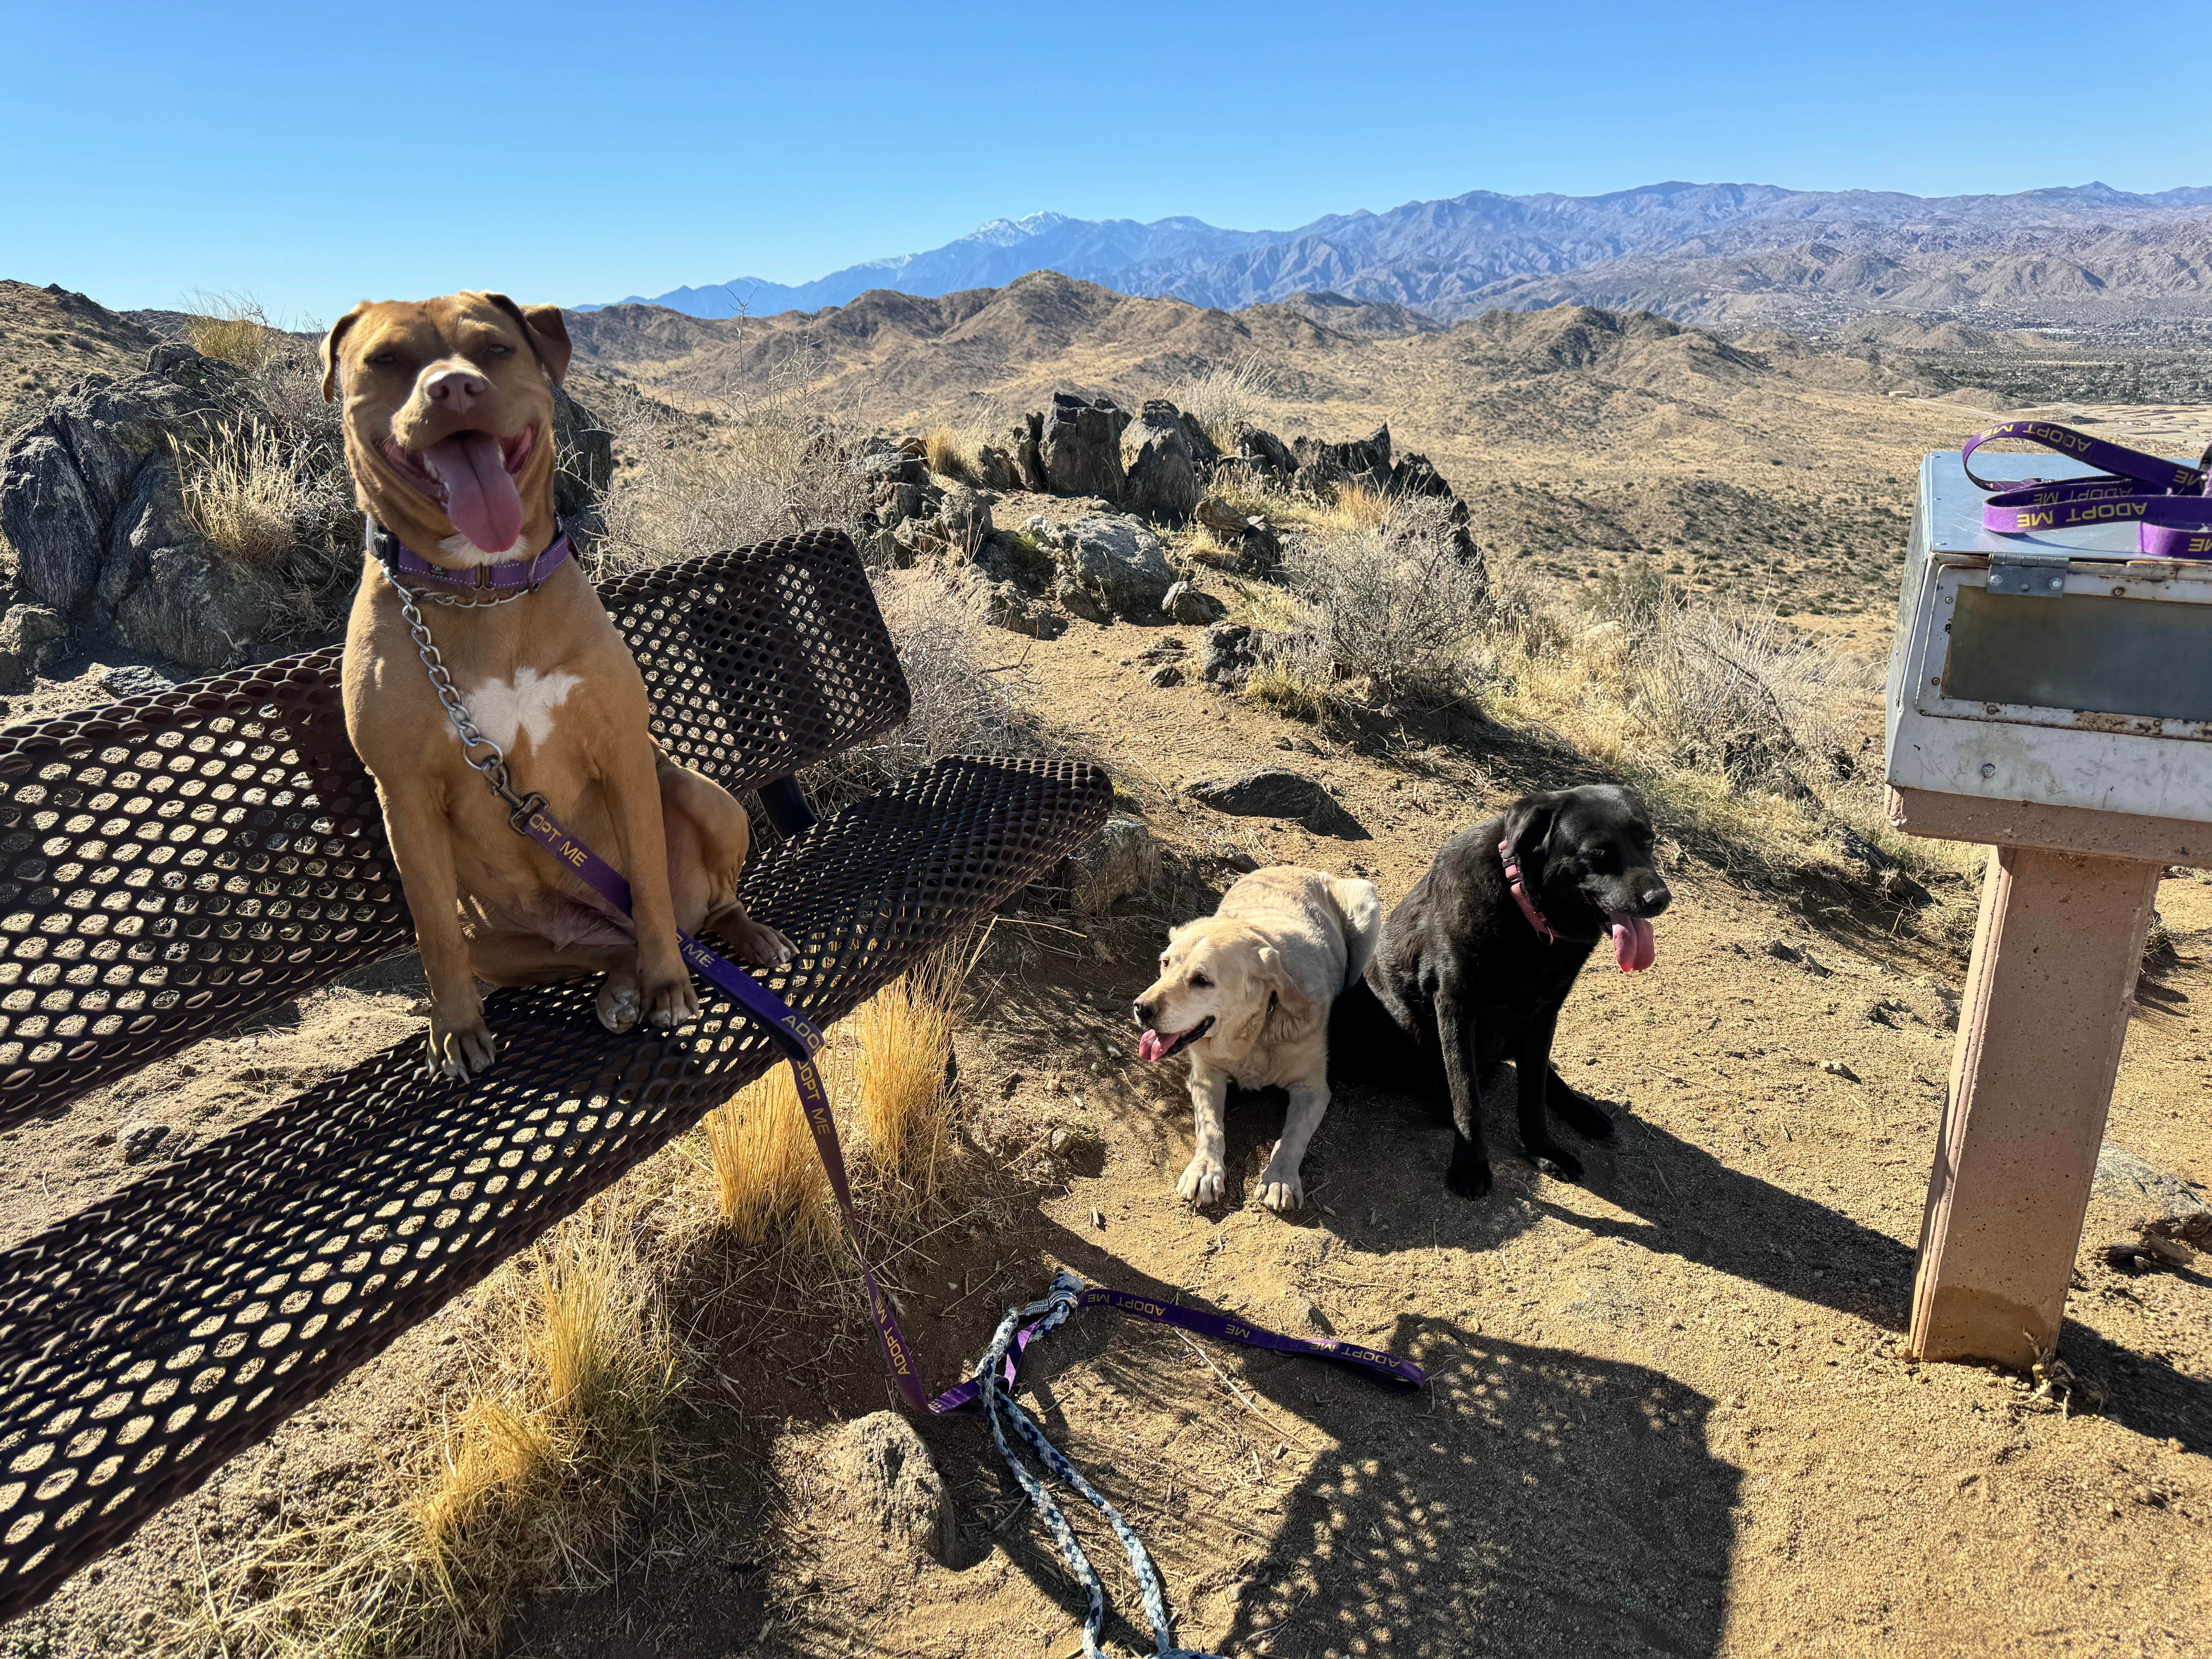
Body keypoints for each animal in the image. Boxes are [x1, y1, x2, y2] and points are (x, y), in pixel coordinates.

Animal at [321, 294, 787, 1084]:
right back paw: (619, 987)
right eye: (385, 360)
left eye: (495, 348)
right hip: (498, 937)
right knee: (601, 947)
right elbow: (433, 936)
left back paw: (733, 944)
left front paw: (670, 986)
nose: (454, 389)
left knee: (701, 906)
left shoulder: (623, 749)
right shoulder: (403, 794)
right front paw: (456, 1030)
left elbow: (651, 888)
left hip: (710, 800)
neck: (485, 585)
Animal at [1132, 871, 1371, 1212]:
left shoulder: (1313, 1090)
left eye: (1202, 981)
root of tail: (1300, 869)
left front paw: (1280, 1178)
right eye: (1165, 964)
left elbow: (1293, 1137)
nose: (1142, 1008)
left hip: (1367, 907)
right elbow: (1210, 1128)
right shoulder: (1205, 1076)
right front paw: (1205, 1170)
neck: (1252, 1035)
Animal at [1318, 787, 1663, 1203]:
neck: (1526, 916)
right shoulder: (1456, 1007)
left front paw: (1544, 1151)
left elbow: (1533, 1093)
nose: (1660, 899)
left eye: (1648, 841)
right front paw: (1470, 1165)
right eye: (1598, 852)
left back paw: (1584, 1111)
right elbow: (1469, 1098)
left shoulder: (1543, 1016)